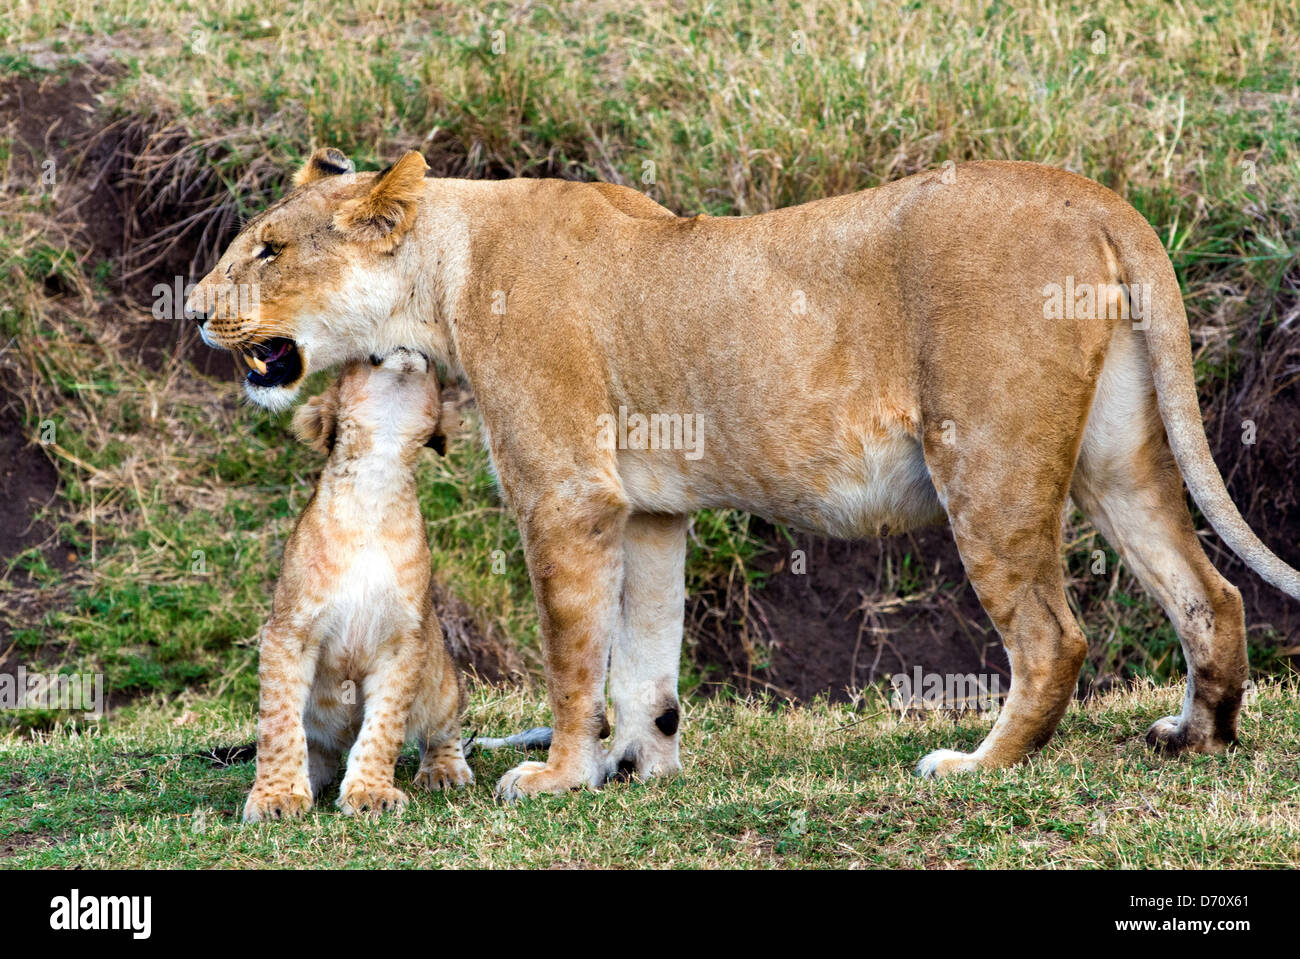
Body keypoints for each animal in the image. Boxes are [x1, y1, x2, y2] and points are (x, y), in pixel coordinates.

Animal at [242, 347, 470, 823]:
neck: (376, 478)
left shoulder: (406, 642)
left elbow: (384, 727)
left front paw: (370, 792)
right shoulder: (288, 631)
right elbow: (278, 724)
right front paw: (276, 797)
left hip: (442, 678)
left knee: (444, 728)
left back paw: (444, 771)